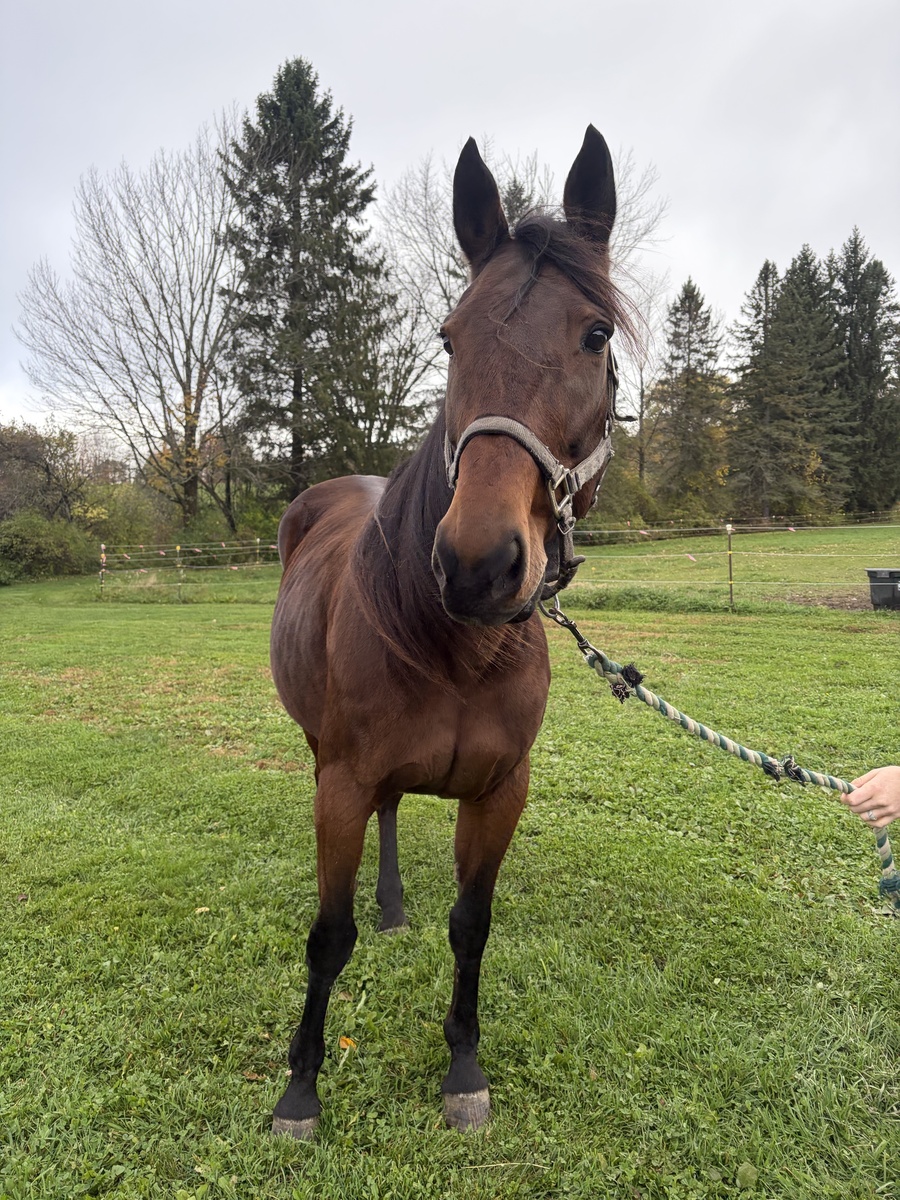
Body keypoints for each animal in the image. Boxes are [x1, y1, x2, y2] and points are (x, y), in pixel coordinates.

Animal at [269, 125, 629, 1139]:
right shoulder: (341, 784)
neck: (461, 648)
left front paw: (464, 1069)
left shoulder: (501, 792)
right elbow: (328, 935)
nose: (476, 563)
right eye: (449, 337)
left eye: (596, 334)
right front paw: (300, 1087)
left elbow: (472, 926)